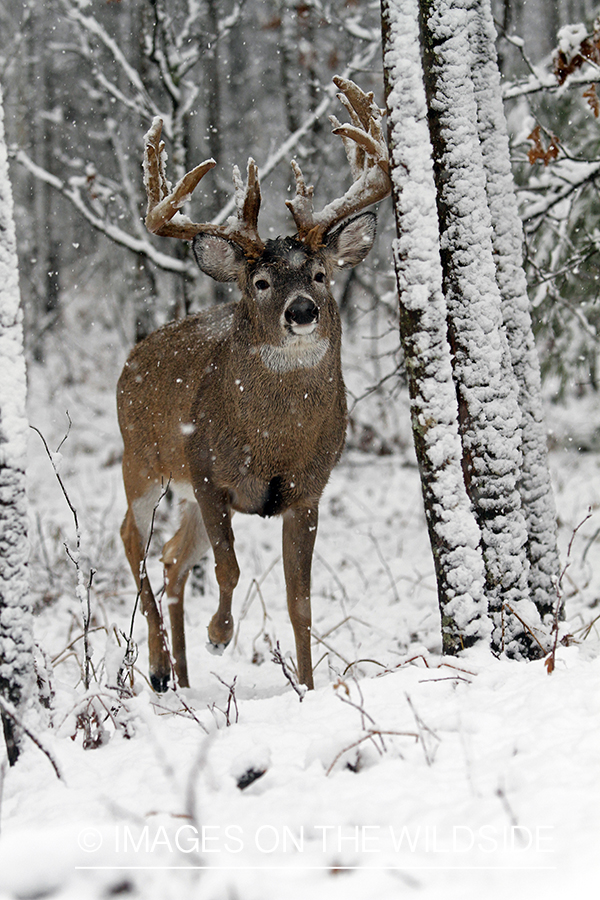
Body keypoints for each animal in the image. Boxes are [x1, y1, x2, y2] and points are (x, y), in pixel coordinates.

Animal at [118, 79, 392, 696]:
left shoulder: (309, 491)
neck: (273, 444)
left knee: (171, 556)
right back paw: (158, 667)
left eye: (320, 273)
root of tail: (134, 355)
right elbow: (230, 566)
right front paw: (220, 634)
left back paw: (181, 675)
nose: (302, 311)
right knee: (132, 537)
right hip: (143, 459)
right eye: (260, 281)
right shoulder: (204, 470)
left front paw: (309, 688)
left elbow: (301, 603)